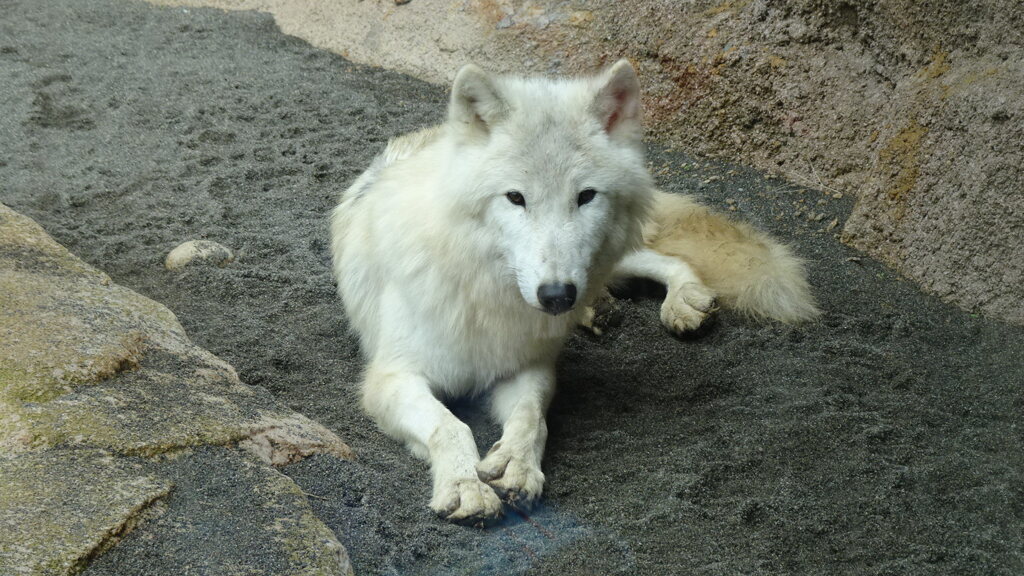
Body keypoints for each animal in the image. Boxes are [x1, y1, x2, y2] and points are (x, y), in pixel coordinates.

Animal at [331, 60, 819, 522]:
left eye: (585, 196)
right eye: (515, 198)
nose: (556, 296)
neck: (484, 290)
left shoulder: (528, 368)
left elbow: (532, 419)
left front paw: (516, 466)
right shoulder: (391, 377)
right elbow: (450, 425)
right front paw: (466, 486)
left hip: (608, 257)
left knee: (666, 258)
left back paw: (679, 301)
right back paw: (595, 311)